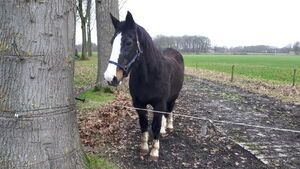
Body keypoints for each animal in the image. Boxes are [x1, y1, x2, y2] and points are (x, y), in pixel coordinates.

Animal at [105, 11, 185, 161]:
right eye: (112, 42)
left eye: (128, 42)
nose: (109, 77)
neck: (149, 77)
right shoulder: (138, 104)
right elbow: (144, 124)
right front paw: (143, 148)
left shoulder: (159, 103)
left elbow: (155, 125)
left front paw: (154, 151)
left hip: (173, 97)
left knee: (169, 110)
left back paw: (169, 126)